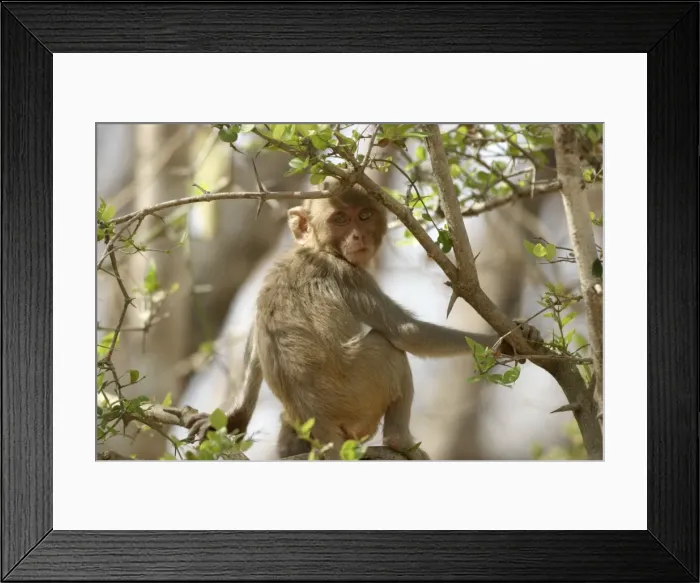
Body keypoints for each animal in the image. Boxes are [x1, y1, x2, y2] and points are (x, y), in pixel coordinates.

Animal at [186, 177, 542, 460]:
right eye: (340, 219)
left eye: (365, 215)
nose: (358, 236)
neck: (316, 248)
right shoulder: (349, 275)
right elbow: (406, 333)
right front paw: (508, 341)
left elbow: (256, 338)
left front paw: (234, 419)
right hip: (358, 396)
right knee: (388, 349)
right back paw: (400, 441)